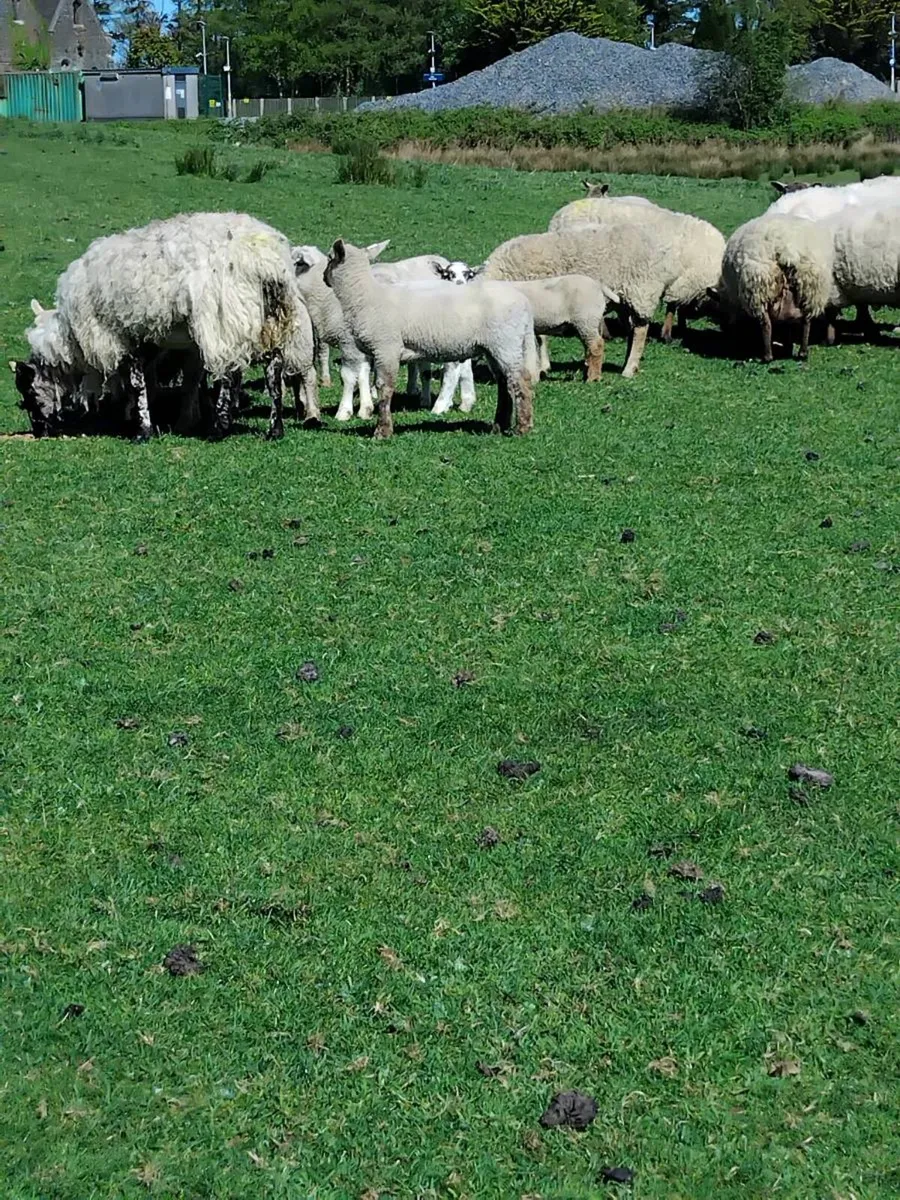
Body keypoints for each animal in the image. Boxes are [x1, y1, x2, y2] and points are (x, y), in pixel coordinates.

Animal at [15, 212, 318, 441]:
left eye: (27, 392)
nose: (39, 431)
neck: (70, 339)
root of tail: (267, 261)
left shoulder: (124, 336)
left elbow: (137, 383)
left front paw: (143, 430)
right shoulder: (151, 341)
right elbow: (154, 382)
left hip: (224, 320)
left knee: (229, 375)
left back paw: (219, 427)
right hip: (270, 321)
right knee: (273, 370)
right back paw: (274, 430)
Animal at [323, 239, 537, 439]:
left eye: (329, 258)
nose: (324, 277)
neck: (365, 296)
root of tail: (525, 304)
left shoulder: (386, 348)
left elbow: (384, 388)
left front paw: (382, 431)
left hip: (506, 343)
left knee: (520, 382)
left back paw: (523, 427)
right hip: (494, 347)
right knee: (504, 383)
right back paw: (499, 426)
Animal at [484, 215, 724, 378]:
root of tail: (663, 256)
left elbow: (541, 337)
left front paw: (542, 366)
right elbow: (541, 336)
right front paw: (543, 365)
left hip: (640, 292)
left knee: (640, 330)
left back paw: (629, 368)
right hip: (625, 299)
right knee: (631, 330)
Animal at [717, 214, 834, 362]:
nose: (728, 326)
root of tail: (787, 250)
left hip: (759, 289)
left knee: (766, 324)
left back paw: (767, 356)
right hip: (810, 288)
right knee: (806, 321)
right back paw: (802, 352)